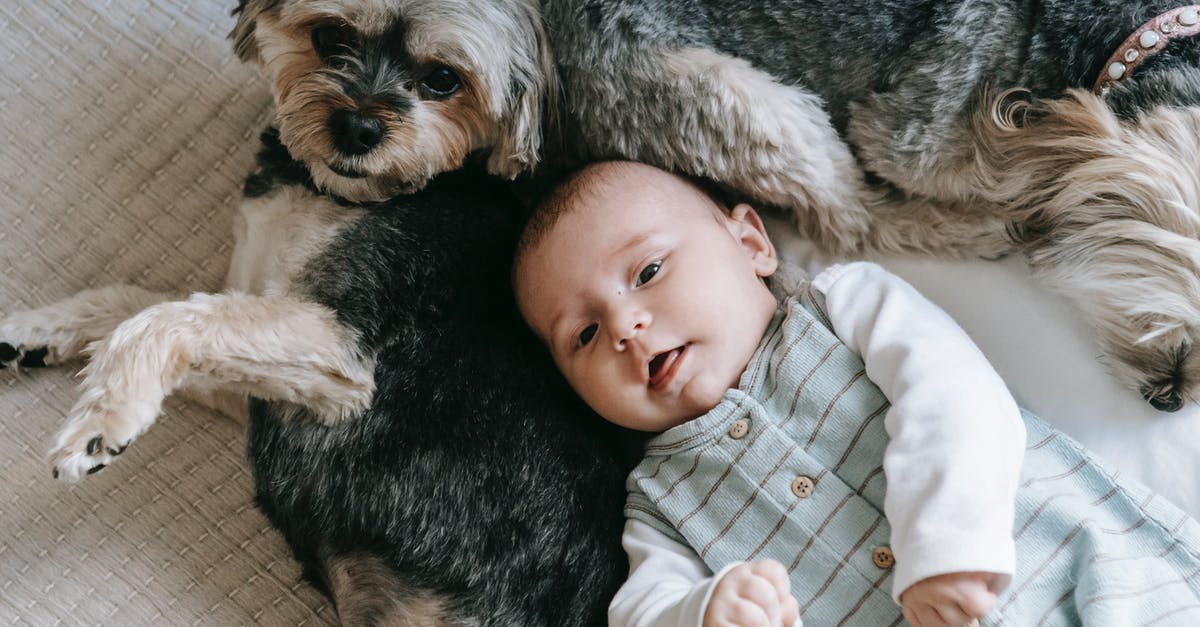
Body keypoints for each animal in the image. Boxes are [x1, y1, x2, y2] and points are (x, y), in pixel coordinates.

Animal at [223, 0, 1200, 410]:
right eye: (1177, 327)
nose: (1171, 400)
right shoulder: (915, 132)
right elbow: (995, 172)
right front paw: (1028, 203)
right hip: (753, 104)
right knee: (859, 215)